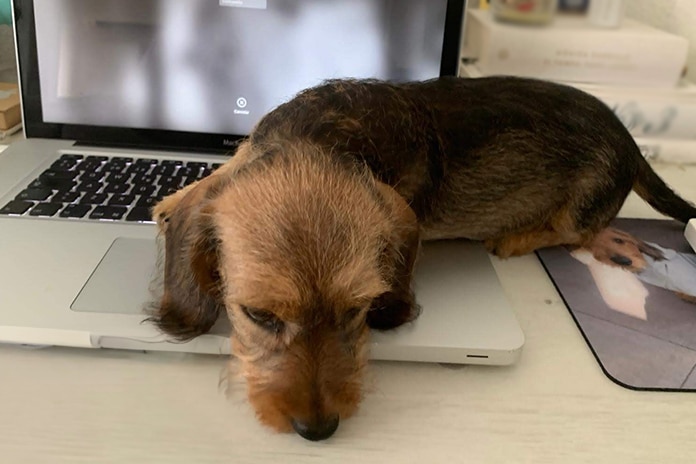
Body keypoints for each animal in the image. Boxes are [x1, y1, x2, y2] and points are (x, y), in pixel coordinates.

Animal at [148, 78, 696, 440]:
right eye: (259, 315)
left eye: (358, 311)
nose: (319, 430)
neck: (317, 136)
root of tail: (631, 143)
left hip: (584, 201)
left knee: (576, 229)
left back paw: (516, 237)